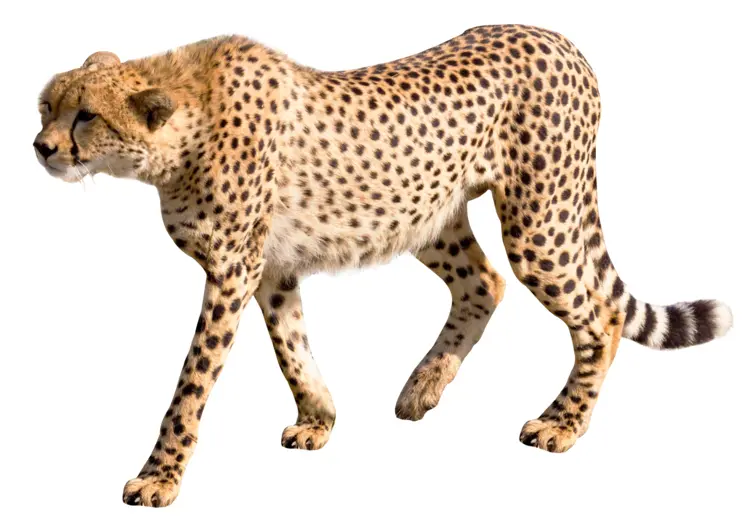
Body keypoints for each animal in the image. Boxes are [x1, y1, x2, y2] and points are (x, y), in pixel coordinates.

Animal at [34, 25, 733, 507]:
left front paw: (158, 477)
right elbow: (291, 345)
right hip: (427, 214)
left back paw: (562, 424)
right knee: (484, 284)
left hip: (540, 219)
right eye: (46, 106)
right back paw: (423, 387)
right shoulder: (270, 269)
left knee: (601, 319)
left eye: (86, 116)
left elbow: (191, 382)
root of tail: (556, 37)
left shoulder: (232, 270)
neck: (180, 124)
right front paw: (318, 419)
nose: (41, 146)